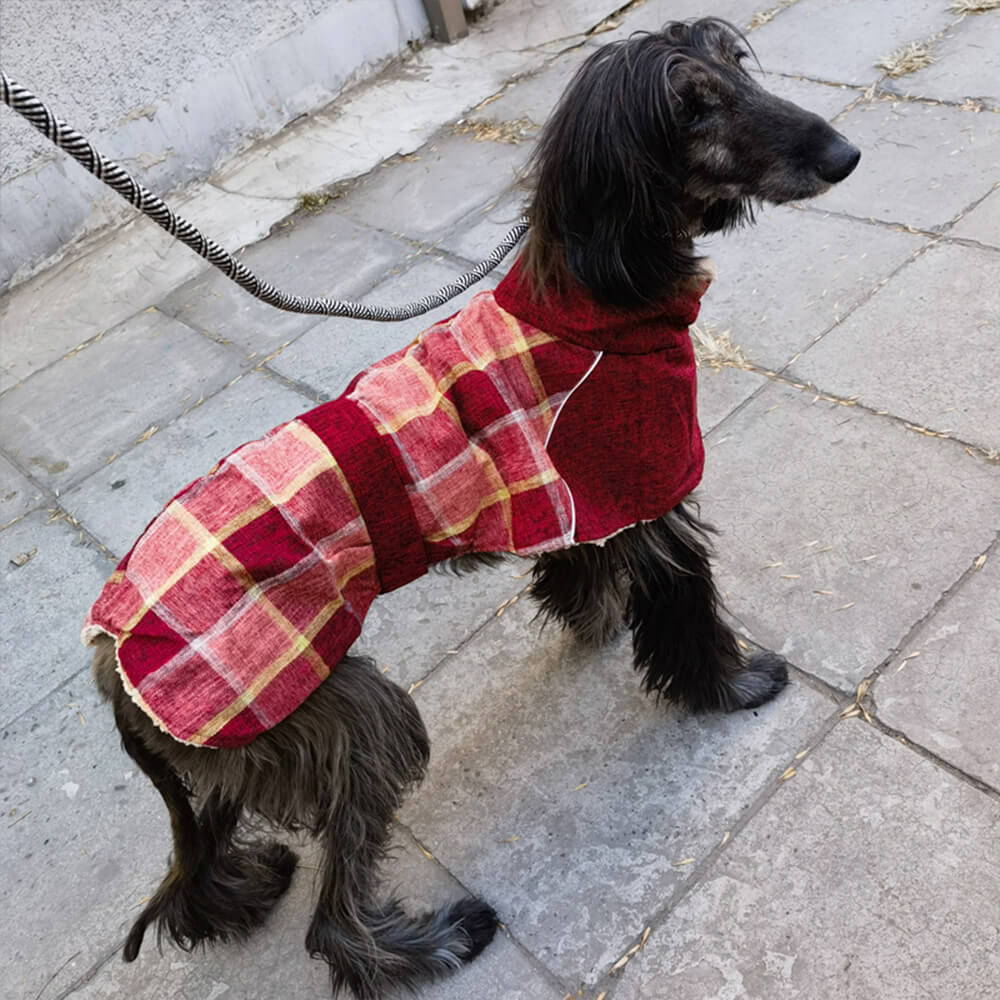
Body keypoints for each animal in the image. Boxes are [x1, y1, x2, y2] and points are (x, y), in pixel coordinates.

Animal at [84, 17, 860, 1000]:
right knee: (334, 917)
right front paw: (728, 686)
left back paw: (243, 895)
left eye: (737, 67)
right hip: (344, 715)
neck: (591, 297)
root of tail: (109, 647)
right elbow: (686, 603)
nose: (845, 155)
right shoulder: (649, 489)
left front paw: (594, 617)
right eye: (692, 108)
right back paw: (425, 947)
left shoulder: (582, 494)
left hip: (242, 752)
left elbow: (581, 563)